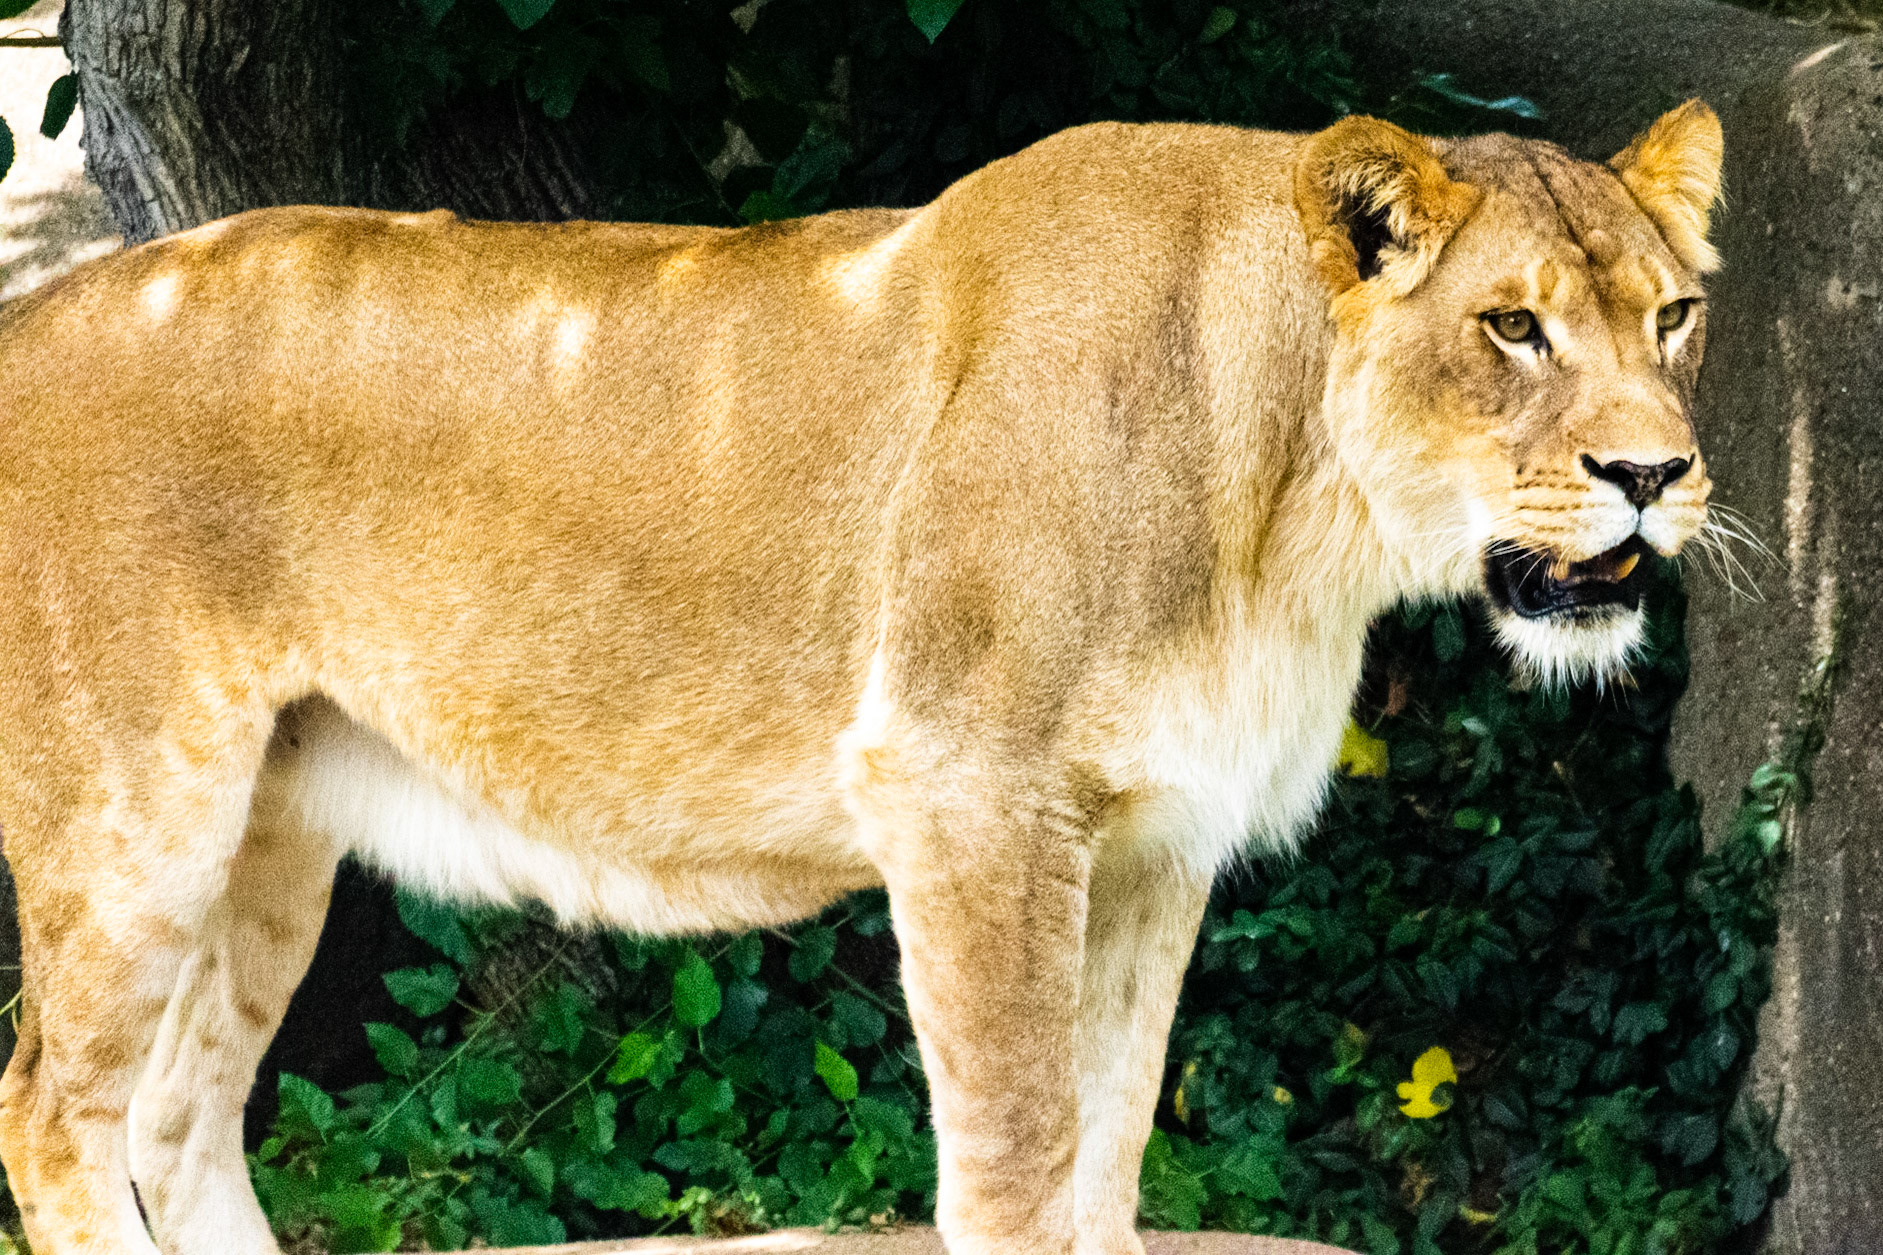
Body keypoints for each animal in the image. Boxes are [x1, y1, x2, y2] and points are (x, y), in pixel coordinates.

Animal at [0, 100, 1719, 1254]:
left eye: (1673, 314)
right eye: (1509, 326)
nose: (1653, 475)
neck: (1290, 511)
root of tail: (42, 302)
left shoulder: (1155, 840)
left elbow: (1111, 1144)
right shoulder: (968, 797)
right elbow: (1018, 1160)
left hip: (273, 823)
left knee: (179, 1112)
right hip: (135, 810)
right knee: (55, 1117)